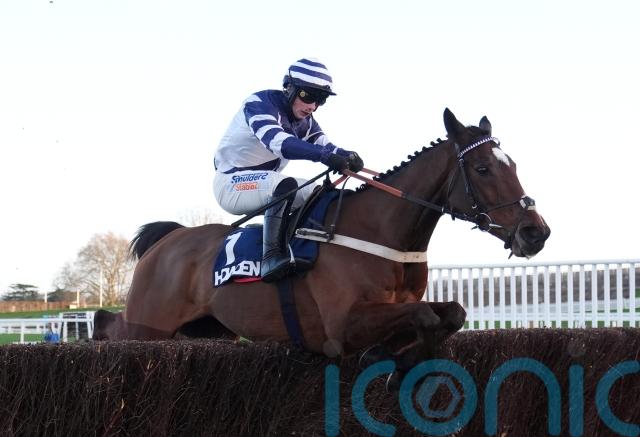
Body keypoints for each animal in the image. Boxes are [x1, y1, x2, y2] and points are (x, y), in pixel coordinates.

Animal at [93, 108, 550, 373]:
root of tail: (166, 240)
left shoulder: (401, 305)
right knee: (112, 330)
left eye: (512, 165)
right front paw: (389, 358)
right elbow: (424, 317)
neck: (380, 232)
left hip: (209, 332)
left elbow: (450, 313)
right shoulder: (340, 326)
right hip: (149, 327)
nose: (536, 232)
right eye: (483, 168)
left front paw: (398, 355)